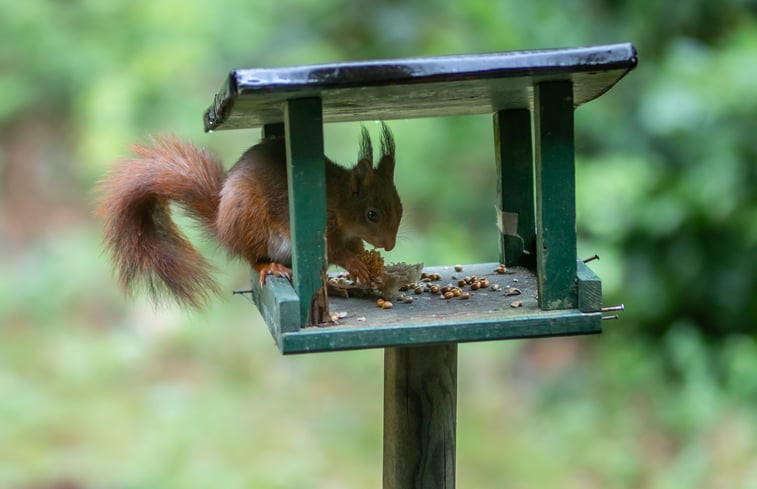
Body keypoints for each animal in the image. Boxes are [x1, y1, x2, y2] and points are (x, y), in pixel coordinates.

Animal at [97, 122, 402, 304]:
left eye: (400, 209)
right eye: (372, 214)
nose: (389, 246)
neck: (338, 202)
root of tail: (222, 225)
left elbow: (353, 246)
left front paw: (367, 263)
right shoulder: (321, 228)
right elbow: (336, 251)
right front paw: (356, 264)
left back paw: (334, 286)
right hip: (251, 223)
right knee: (254, 259)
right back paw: (272, 267)